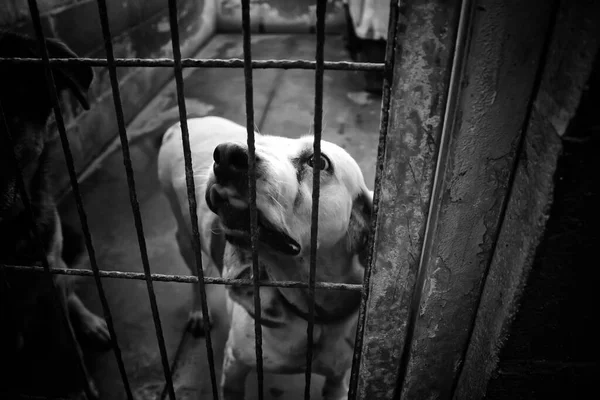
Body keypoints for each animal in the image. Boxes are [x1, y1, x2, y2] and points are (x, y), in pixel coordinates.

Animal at [157, 117, 372, 398]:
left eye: (319, 161)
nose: (226, 154)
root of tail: (187, 121)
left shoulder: (337, 381)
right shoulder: (234, 367)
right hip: (185, 237)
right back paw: (198, 314)